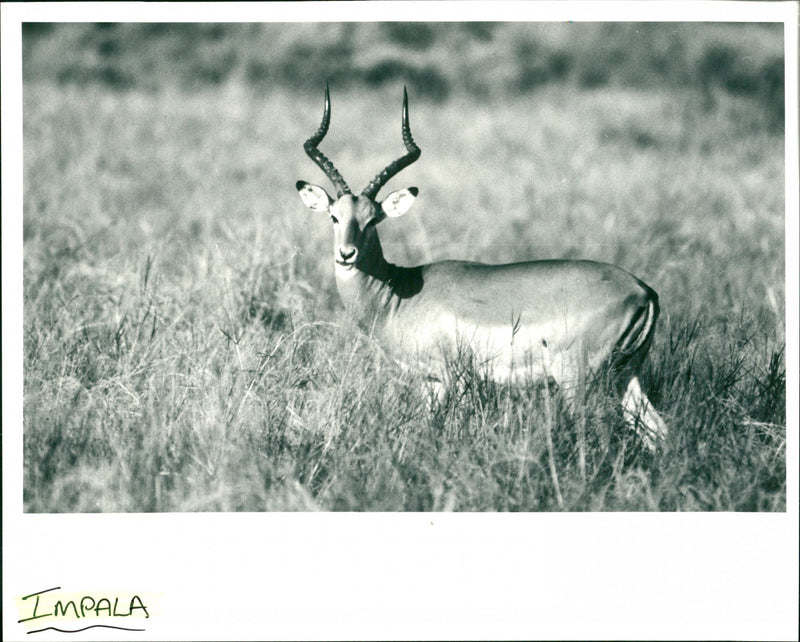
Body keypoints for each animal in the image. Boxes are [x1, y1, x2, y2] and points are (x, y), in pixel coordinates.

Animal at [296, 86, 668, 450]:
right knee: (658, 432)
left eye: (373, 219)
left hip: (578, 379)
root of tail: (643, 291)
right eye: (334, 216)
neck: (399, 294)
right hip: (626, 375)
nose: (347, 254)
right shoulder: (431, 382)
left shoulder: (455, 378)